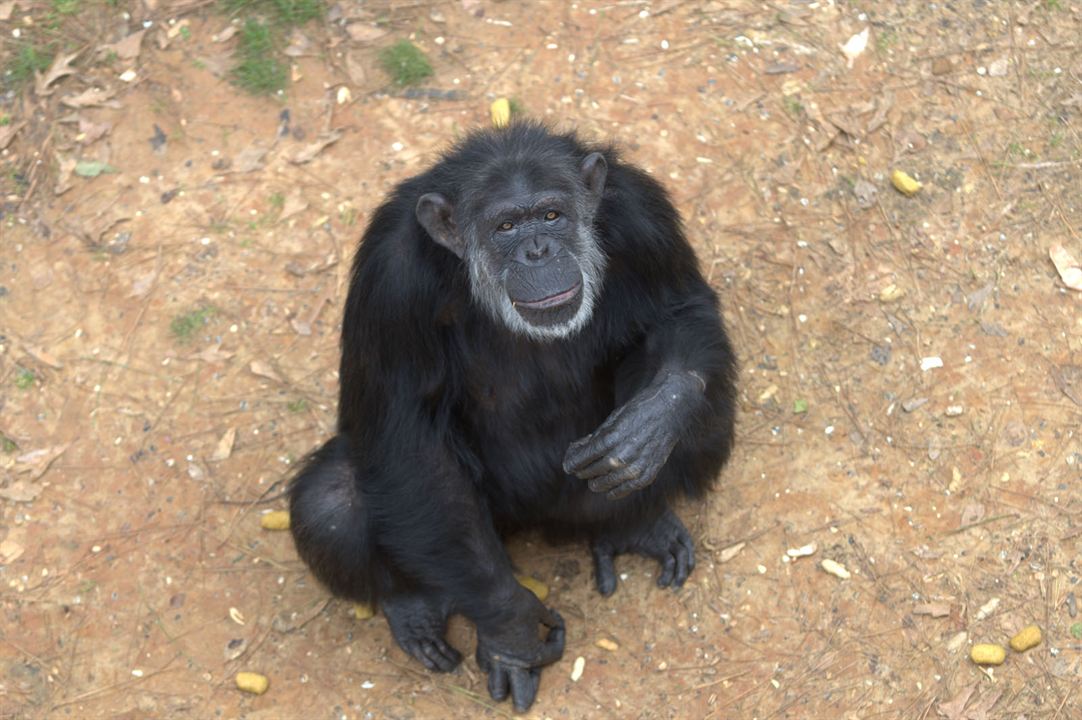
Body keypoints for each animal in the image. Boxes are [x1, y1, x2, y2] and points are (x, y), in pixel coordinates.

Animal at [289, 120, 735, 710]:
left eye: (551, 215)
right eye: (505, 225)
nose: (537, 250)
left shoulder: (645, 216)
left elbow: (682, 308)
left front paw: (654, 420)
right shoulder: (391, 278)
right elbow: (407, 438)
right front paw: (512, 633)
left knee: (707, 412)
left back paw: (635, 522)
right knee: (332, 500)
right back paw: (413, 606)